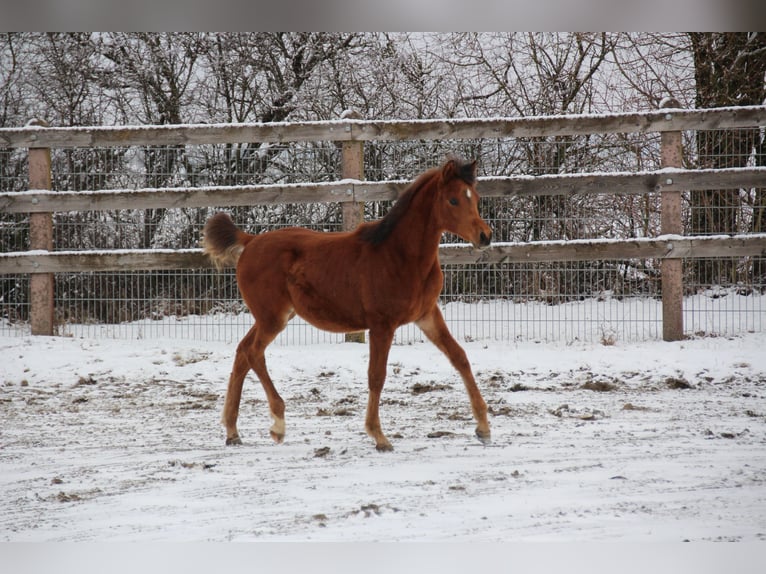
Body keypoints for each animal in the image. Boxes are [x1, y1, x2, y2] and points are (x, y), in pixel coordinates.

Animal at [202, 159, 492, 454]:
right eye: (453, 200)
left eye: (476, 198)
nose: (485, 236)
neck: (400, 256)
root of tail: (250, 241)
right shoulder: (381, 325)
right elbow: (376, 376)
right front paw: (379, 436)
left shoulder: (427, 315)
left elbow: (459, 357)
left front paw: (483, 428)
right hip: (273, 318)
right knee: (253, 353)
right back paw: (278, 424)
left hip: (270, 317)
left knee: (242, 352)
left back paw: (232, 431)